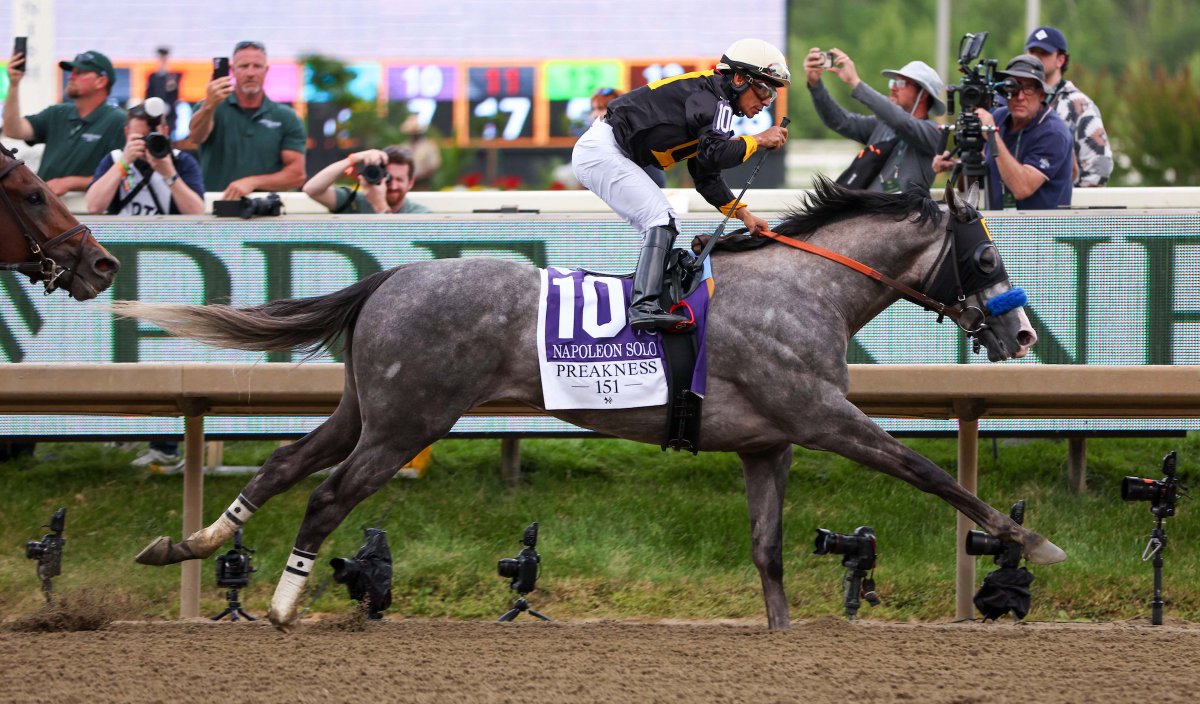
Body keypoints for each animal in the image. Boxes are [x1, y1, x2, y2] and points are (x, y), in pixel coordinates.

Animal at [119, 179, 1065, 631]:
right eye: (986, 257)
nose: (1023, 336)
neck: (807, 288)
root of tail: (392, 278)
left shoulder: (769, 443)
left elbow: (768, 551)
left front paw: (781, 636)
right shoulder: (825, 417)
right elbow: (930, 472)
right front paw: (1030, 541)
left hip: (367, 410)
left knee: (284, 463)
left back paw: (185, 543)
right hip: (408, 423)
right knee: (326, 494)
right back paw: (282, 606)